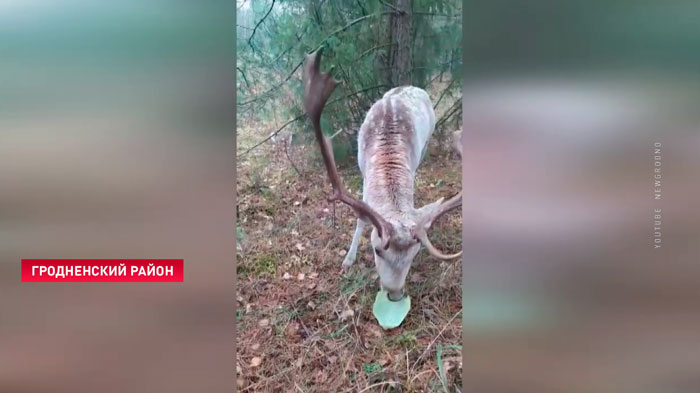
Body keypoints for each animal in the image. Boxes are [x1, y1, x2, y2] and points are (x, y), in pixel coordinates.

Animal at [304, 48, 462, 300]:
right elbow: (361, 217)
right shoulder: (363, 171)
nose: (394, 294)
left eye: (414, 254)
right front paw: (348, 260)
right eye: (377, 250)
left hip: (426, 143)